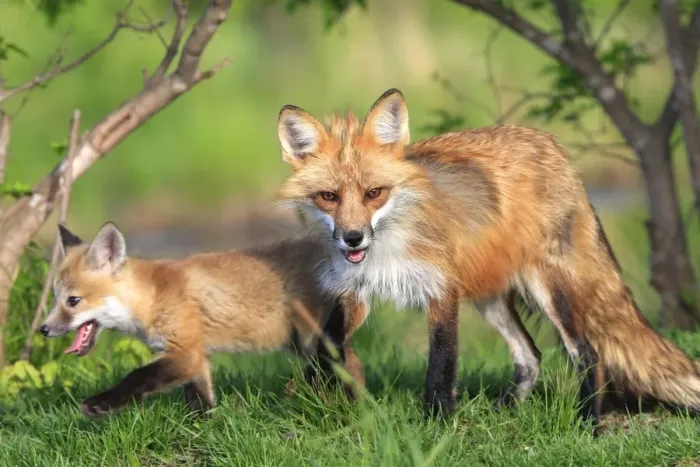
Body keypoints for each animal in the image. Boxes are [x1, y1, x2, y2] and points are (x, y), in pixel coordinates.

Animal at [40, 222, 364, 417]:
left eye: (73, 301)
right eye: (55, 298)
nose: (43, 329)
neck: (152, 298)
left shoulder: (186, 352)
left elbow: (137, 376)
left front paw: (100, 403)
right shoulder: (196, 357)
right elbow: (201, 400)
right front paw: (205, 426)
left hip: (314, 341)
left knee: (349, 368)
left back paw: (350, 410)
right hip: (306, 344)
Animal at [274, 88, 700, 430]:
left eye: (374, 193)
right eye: (329, 197)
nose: (352, 238)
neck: (388, 245)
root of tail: (555, 148)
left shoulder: (441, 289)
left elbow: (441, 367)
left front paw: (437, 425)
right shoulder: (355, 291)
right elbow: (325, 343)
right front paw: (315, 390)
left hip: (549, 291)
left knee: (588, 354)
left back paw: (587, 423)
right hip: (489, 297)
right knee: (530, 356)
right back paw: (506, 413)